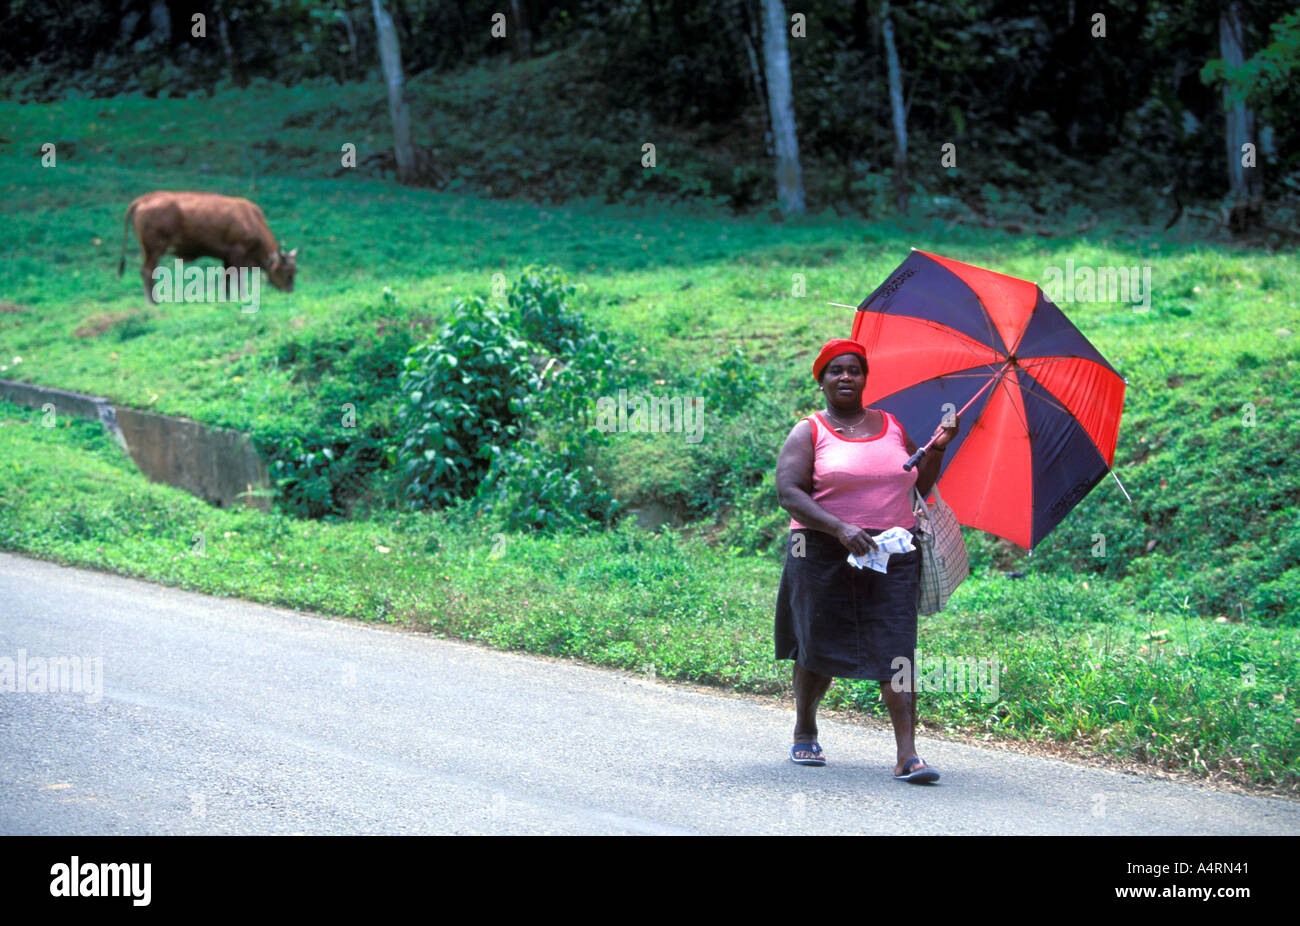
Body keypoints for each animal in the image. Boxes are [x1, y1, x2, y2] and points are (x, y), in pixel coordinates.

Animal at [118, 189, 297, 301]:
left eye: (295, 271)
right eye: (287, 272)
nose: (290, 292)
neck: (251, 219)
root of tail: (145, 199)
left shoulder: (227, 257)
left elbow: (227, 278)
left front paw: (227, 298)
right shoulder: (238, 253)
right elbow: (238, 278)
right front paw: (242, 297)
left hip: (148, 250)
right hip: (154, 249)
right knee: (147, 272)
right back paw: (154, 302)